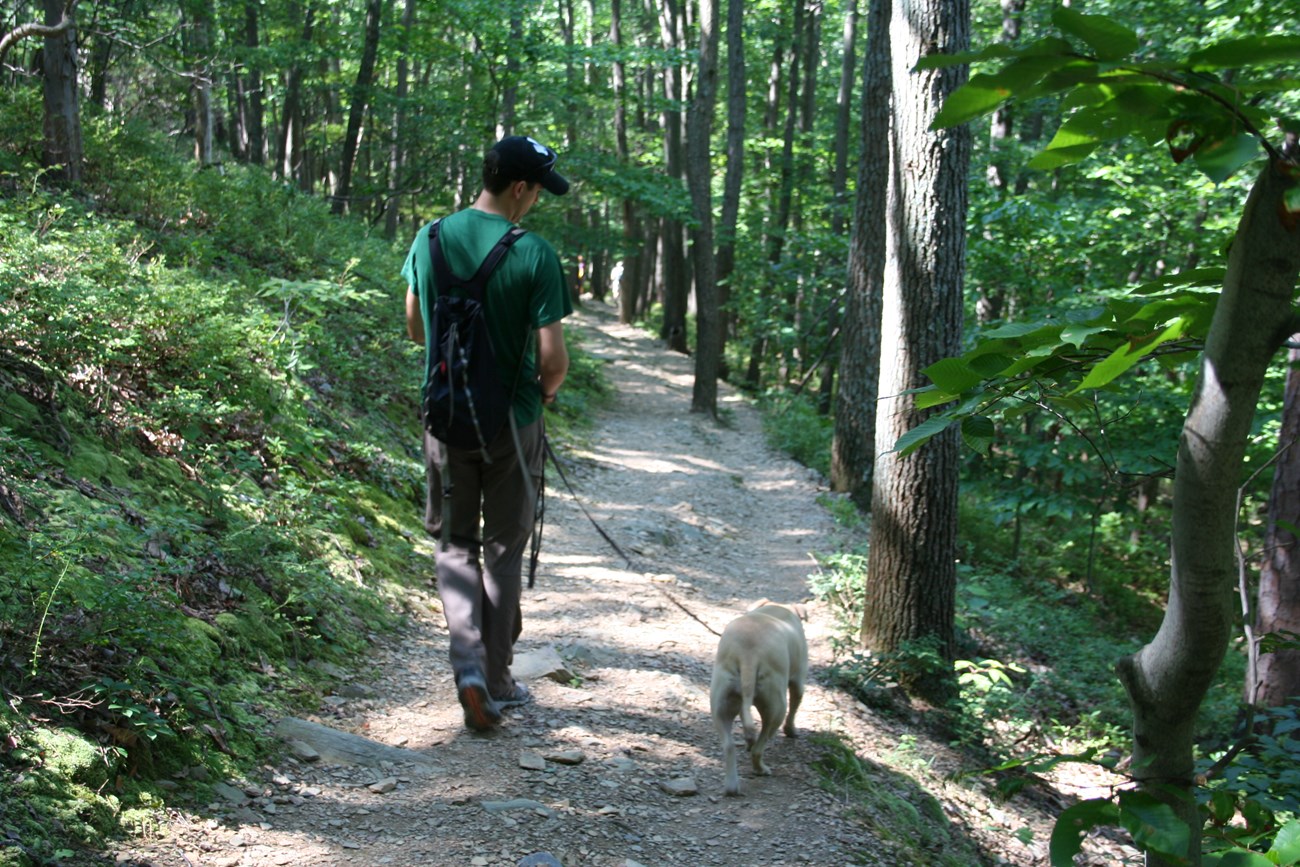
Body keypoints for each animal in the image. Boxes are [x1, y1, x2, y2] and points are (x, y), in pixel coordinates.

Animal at [712, 603, 800, 795]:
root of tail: (748, 656)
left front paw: (748, 739)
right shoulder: (799, 682)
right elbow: (795, 706)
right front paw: (791, 730)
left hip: (721, 705)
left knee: (729, 746)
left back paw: (732, 786)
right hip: (776, 708)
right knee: (760, 746)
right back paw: (761, 769)